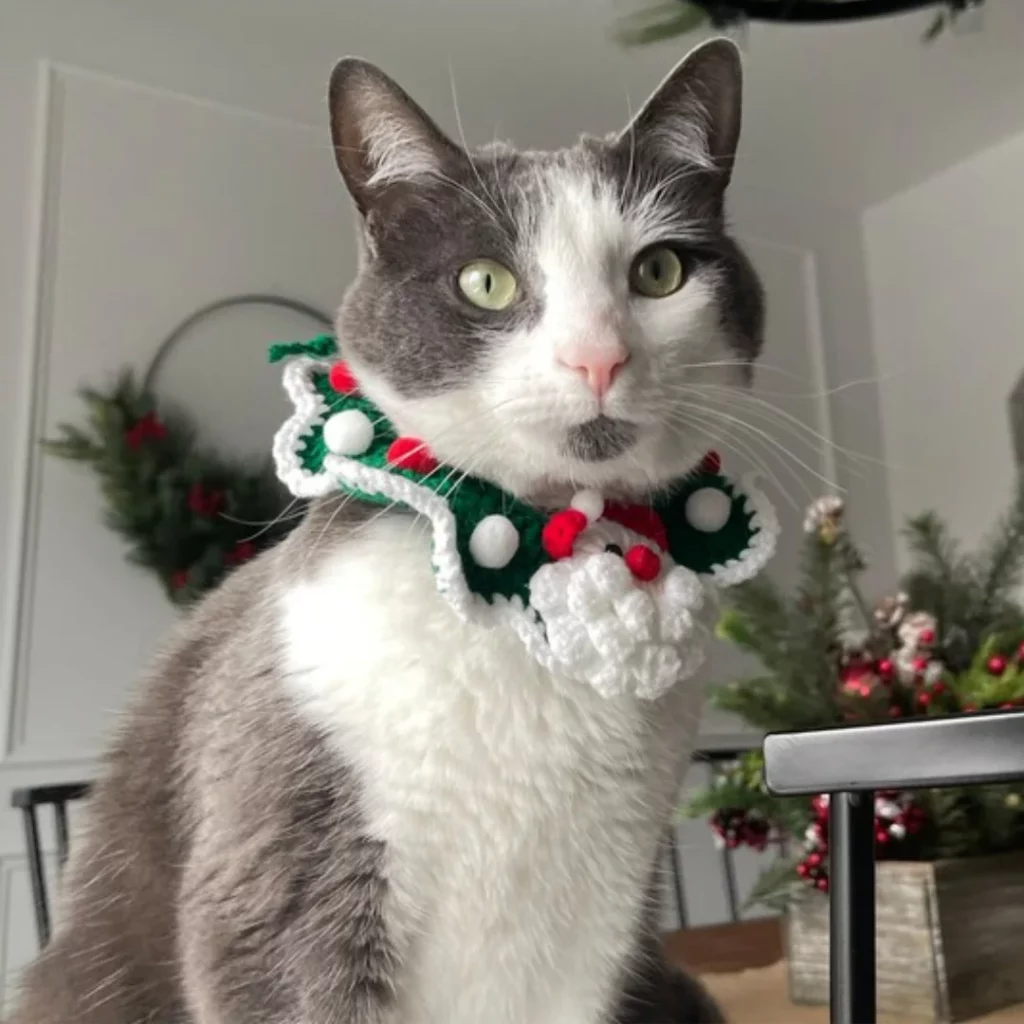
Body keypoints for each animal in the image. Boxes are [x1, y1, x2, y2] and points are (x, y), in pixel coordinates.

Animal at [8, 36, 761, 1024]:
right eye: (487, 282)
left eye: (660, 272)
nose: (598, 358)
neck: (535, 554)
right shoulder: (277, 884)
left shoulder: (600, 917)